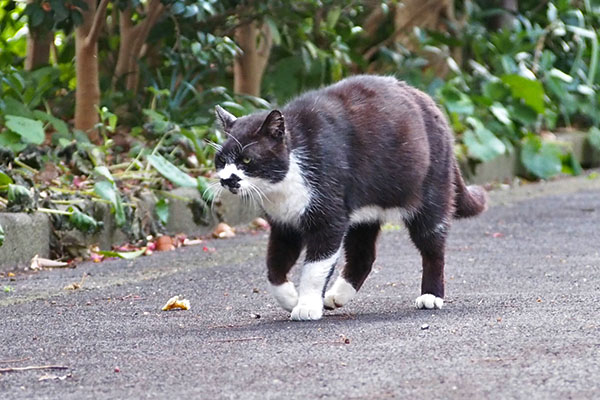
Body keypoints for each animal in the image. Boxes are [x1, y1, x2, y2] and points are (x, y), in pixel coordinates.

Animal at [213, 75, 486, 320]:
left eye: (247, 160)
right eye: (221, 160)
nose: (227, 179)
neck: (283, 183)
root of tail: (431, 103)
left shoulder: (328, 218)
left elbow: (314, 268)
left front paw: (306, 307)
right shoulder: (284, 225)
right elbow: (274, 265)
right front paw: (291, 298)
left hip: (430, 194)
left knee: (433, 247)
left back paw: (431, 296)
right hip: (366, 211)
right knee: (363, 255)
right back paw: (336, 296)